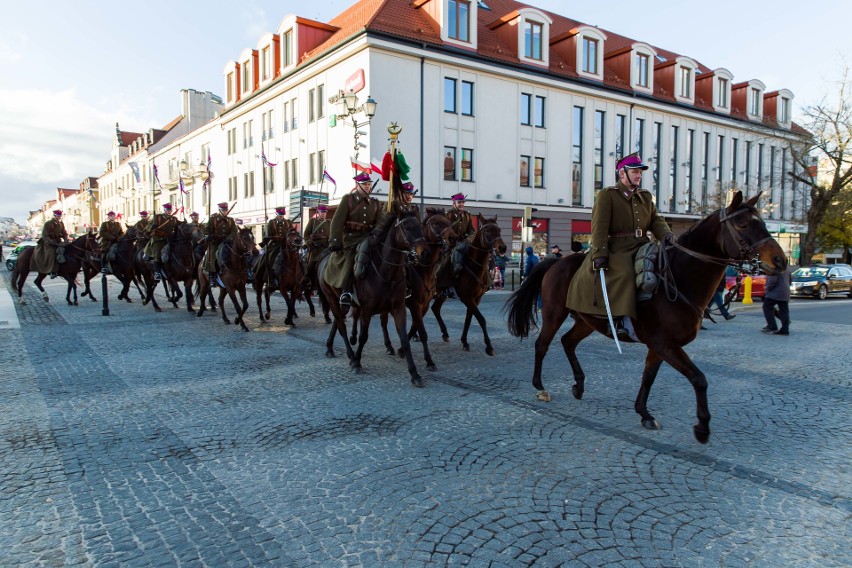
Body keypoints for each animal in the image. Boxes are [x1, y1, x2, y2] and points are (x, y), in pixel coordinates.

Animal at [318, 209, 430, 386]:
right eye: (406, 227)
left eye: (420, 226)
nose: (424, 253)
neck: (386, 274)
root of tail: (324, 259)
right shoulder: (367, 310)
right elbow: (363, 337)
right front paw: (357, 362)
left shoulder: (399, 308)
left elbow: (404, 339)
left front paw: (414, 374)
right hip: (331, 298)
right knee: (341, 326)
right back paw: (351, 356)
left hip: (343, 304)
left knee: (338, 320)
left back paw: (330, 348)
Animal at [432, 214, 506, 356]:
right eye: (487, 231)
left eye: (499, 230)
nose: (502, 248)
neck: (474, 265)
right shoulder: (467, 298)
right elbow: (481, 319)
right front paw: (489, 346)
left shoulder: (476, 299)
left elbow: (469, 319)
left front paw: (464, 342)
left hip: (441, 294)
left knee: (435, 308)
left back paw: (445, 333)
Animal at [502, 191, 788, 444]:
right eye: (742, 224)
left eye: (762, 223)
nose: (781, 261)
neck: (677, 279)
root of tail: (556, 261)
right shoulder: (665, 344)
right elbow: (699, 379)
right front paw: (702, 427)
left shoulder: (658, 345)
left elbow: (648, 377)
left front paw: (644, 412)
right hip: (554, 313)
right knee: (542, 344)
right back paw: (540, 387)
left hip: (587, 321)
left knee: (568, 342)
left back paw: (579, 385)